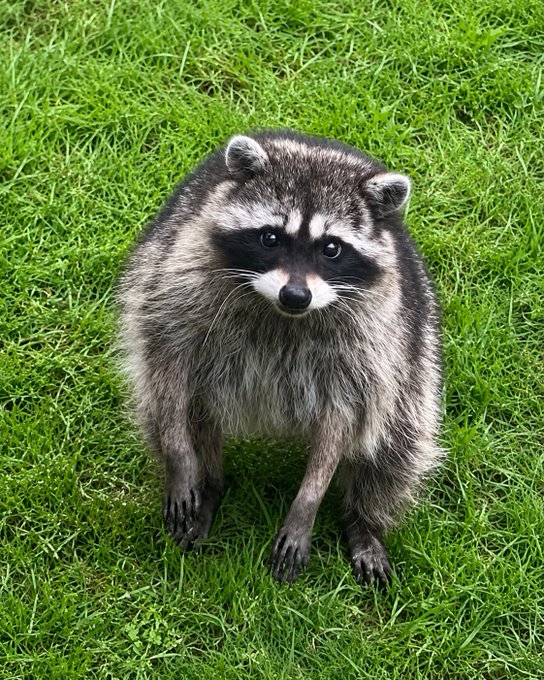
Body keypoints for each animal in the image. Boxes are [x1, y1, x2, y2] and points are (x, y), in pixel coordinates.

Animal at [117, 130, 443, 587]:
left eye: (331, 248)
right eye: (270, 238)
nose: (295, 295)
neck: (283, 314)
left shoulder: (374, 344)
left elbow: (344, 416)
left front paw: (308, 504)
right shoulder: (175, 277)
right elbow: (169, 366)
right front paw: (181, 463)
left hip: (414, 361)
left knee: (396, 447)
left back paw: (363, 521)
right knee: (179, 413)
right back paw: (208, 483)